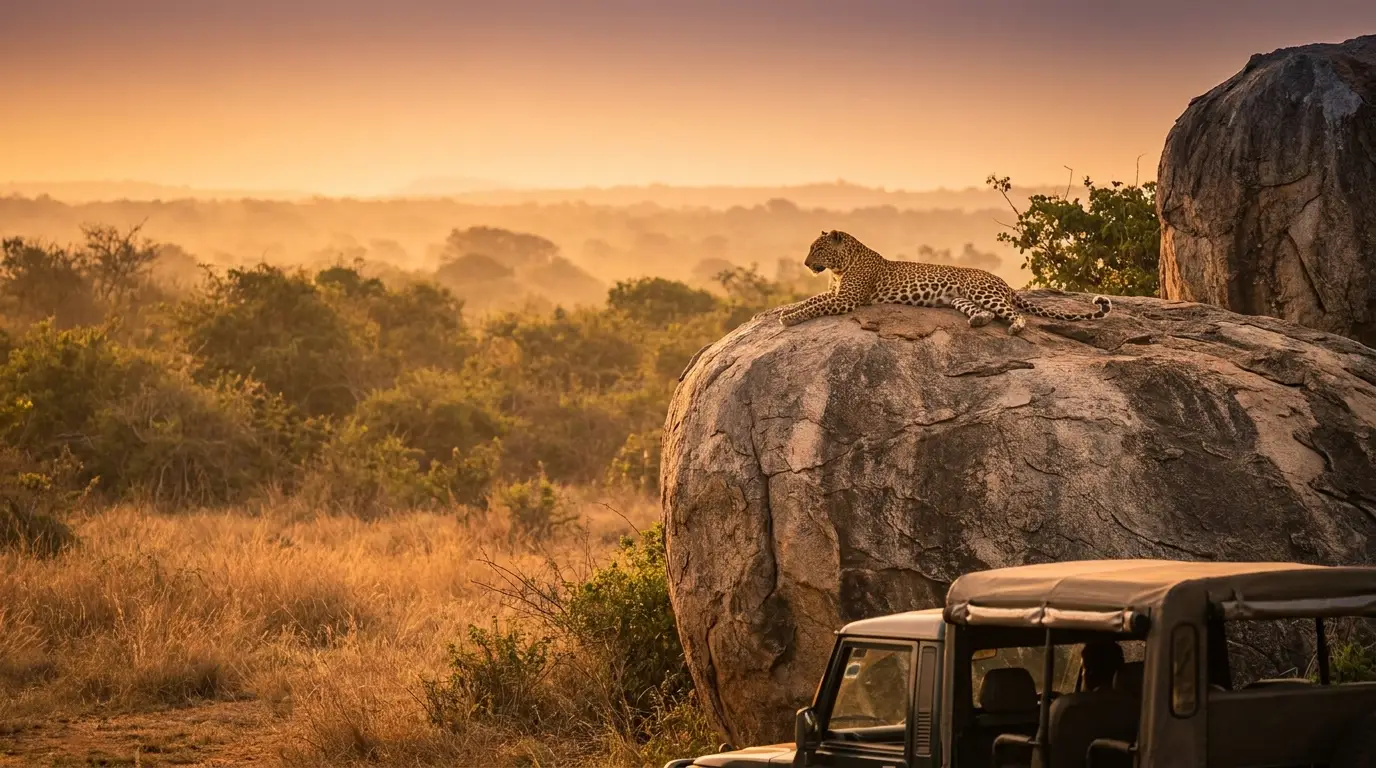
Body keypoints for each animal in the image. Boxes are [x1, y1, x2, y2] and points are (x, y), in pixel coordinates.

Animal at [755, 230, 1111, 334]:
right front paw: (785, 312)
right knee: (987, 312)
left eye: (816, 249)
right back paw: (978, 322)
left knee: (1013, 313)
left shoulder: (847, 299)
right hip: (959, 298)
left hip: (980, 289)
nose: (805, 264)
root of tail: (1004, 281)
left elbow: (813, 306)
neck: (840, 267)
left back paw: (1015, 327)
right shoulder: (836, 294)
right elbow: (812, 300)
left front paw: (789, 318)